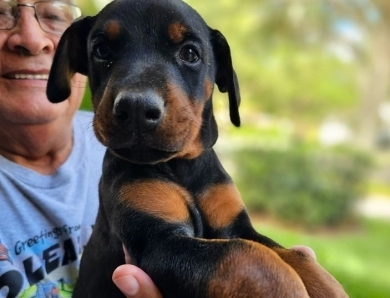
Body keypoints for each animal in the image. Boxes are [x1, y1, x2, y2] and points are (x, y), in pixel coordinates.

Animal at [45, 0, 348, 296]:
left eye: (190, 53)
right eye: (101, 50)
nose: (136, 108)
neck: (182, 167)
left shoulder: (237, 225)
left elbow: (293, 256)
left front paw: (329, 288)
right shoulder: (157, 240)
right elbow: (249, 258)